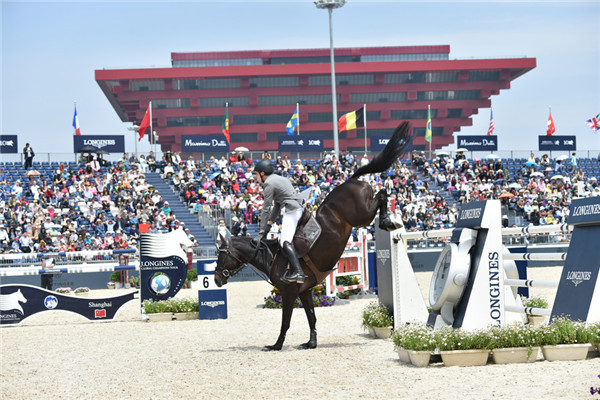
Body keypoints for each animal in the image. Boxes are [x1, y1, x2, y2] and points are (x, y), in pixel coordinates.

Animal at [216, 121, 412, 350]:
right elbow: (311, 317)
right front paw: (311, 342)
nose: (216, 279)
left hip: (361, 216)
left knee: (381, 195)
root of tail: (351, 179)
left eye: (221, 255)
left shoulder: (289, 292)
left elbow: (286, 321)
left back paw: (387, 221)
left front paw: (276, 345)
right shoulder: (305, 291)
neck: (271, 256)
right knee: (381, 194)